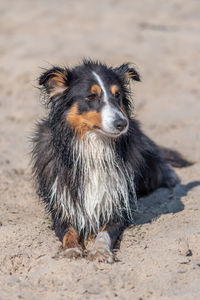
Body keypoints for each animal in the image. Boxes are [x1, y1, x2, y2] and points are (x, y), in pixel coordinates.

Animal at [31, 59, 191, 262]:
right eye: (91, 96)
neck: (95, 146)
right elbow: (68, 232)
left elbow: (105, 232)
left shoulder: (117, 203)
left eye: (118, 95)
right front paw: (71, 250)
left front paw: (100, 251)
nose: (122, 123)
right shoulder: (62, 206)